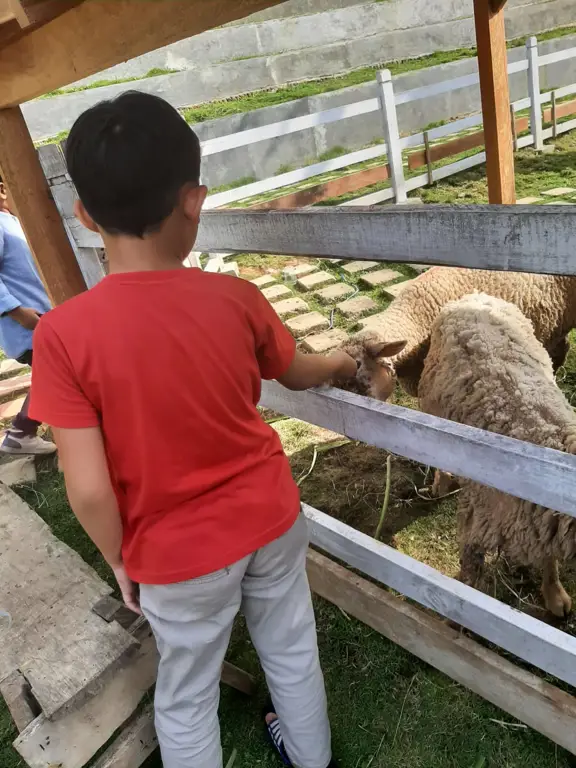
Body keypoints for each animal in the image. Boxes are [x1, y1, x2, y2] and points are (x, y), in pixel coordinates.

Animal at [418, 294, 576, 616]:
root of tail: (475, 295)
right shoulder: (479, 520)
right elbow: (472, 575)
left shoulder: (542, 522)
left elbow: (549, 558)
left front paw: (554, 594)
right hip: (431, 402)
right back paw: (442, 482)